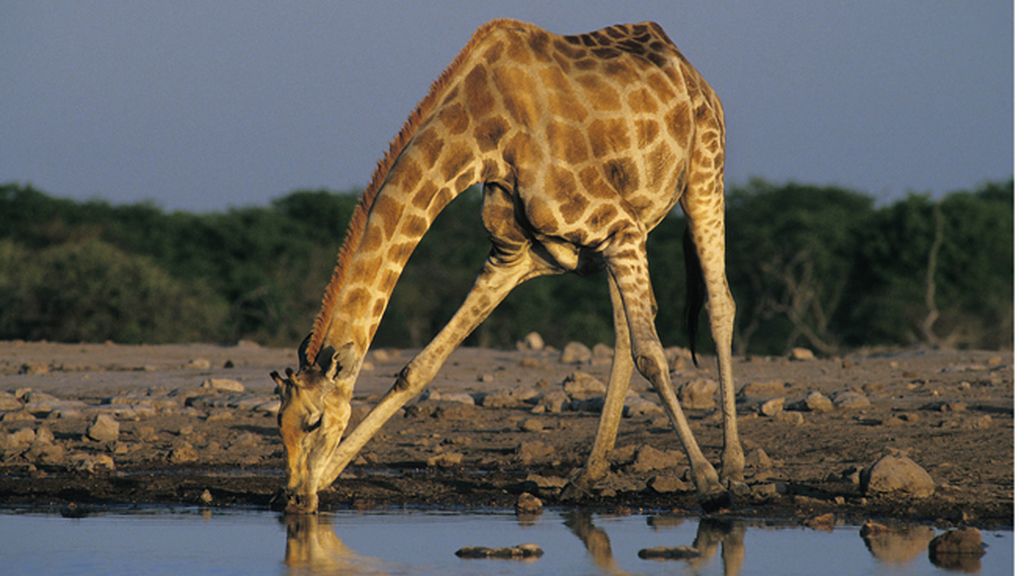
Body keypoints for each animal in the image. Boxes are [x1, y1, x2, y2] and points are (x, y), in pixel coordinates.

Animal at [270, 18, 741, 514]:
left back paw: (734, 469)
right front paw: (325, 479)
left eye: (313, 421)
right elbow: (419, 367)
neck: (482, 136)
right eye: (278, 423)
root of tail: (689, 69)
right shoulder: (513, 257)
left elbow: (652, 355)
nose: (292, 496)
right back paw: (585, 477)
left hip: (704, 174)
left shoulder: (615, 225)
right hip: (630, 232)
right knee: (626, 334)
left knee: (718, 305)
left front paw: (709, 485)